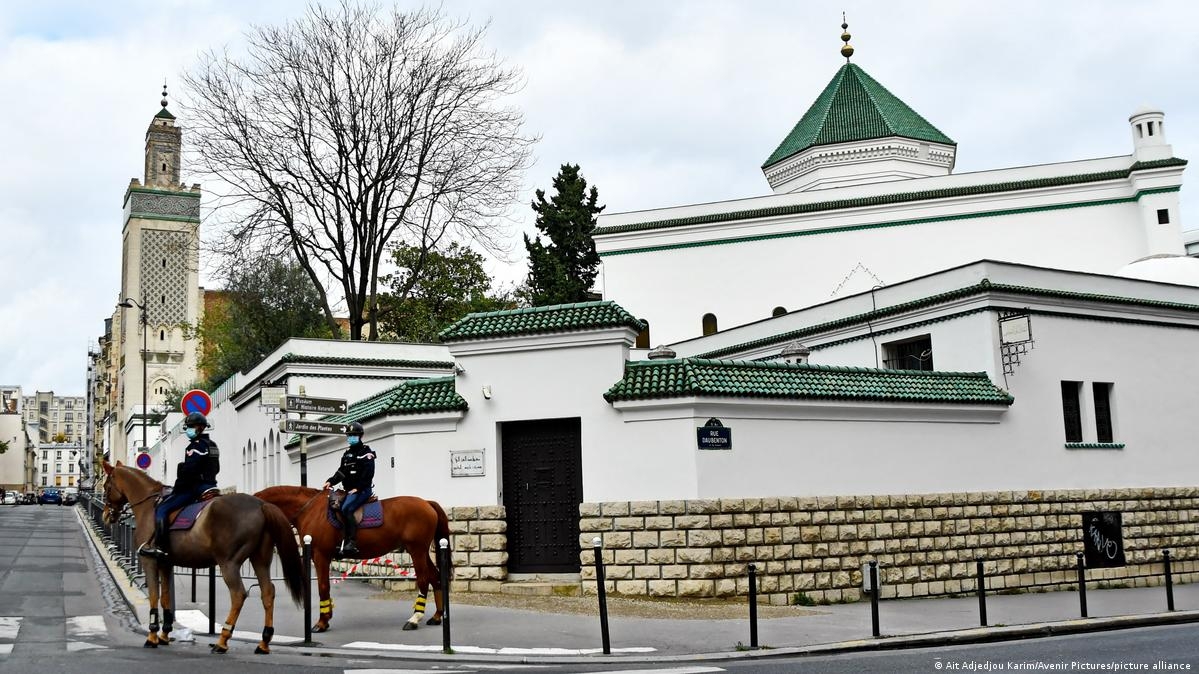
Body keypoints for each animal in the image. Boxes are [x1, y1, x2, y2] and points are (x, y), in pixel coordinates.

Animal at [101, 460, 306, 652]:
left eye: (106, 487)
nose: (106, 515)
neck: (149, 507)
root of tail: (261, 504)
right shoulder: (165, 562)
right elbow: (166, 597)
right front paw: (165, 634)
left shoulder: (149, 560)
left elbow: (153, 596)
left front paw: (152, 637)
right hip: (260, 560)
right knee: (268, 592)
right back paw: (264, 642)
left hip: (229, 563)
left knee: (238, 594)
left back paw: (223, 640)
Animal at [256, 482, 450, 628]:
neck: (310, 510)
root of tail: (427, 503)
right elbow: (325, 587)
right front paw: (326, 617)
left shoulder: (320, 556)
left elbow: (323, 587)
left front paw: (322, 622)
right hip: (422, 552)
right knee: (435, 577)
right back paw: (437, 616)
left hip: (417, 551)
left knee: (424, 580)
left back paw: (415, 618)